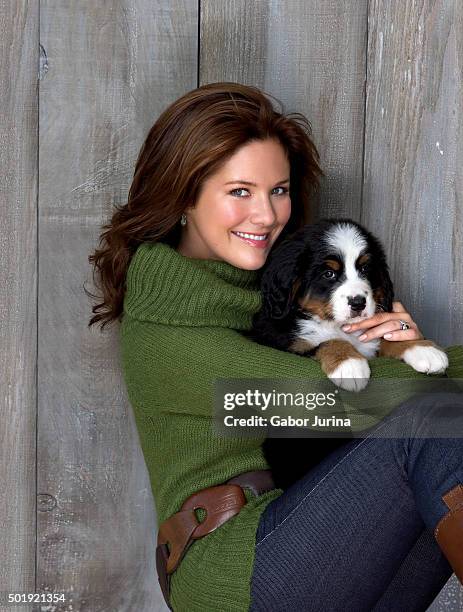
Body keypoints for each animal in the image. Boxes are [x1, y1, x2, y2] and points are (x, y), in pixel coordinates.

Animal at [250, 218, 450, 490]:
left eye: (365, 269)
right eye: (329, 274)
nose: (358, 302)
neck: (336, 324)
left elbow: (385, 336)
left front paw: (423, 348)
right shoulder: (279, 343)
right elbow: (327, 342)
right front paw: (351, 365)